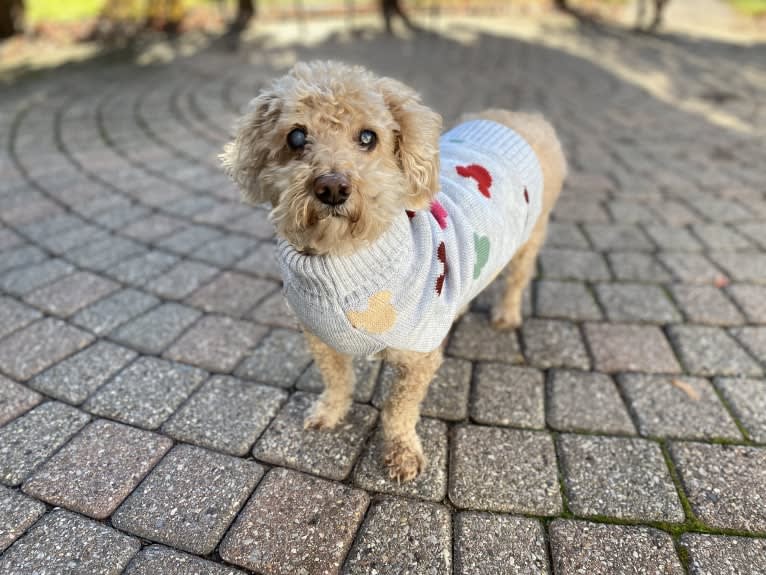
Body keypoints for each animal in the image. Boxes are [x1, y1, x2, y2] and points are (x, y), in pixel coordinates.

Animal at [219, 59, 568, 482]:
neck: (344, 261)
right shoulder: (319, 336)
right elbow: (337, 380)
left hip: (532, 233)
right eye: (296, 137)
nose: (332, 187)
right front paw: (329, 413)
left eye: (368, 137)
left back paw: (506, 314)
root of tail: (523, 118)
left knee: (517, 278)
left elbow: (398, 409)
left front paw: (401, 453)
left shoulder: (418, 359)